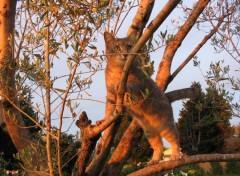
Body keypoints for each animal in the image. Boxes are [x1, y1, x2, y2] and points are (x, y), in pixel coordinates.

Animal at [104, 31, 200, 164]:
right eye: (117, 47)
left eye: (129, 46)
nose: (125, 54)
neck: (118, 71)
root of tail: (166, 96)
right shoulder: (110, 94)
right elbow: (108, 109)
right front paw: (105, 121)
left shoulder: (137, 81)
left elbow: (130, 85)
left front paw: (123, 88)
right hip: (150, 132)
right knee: (158, 146)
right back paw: (154, 160)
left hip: (165, 126)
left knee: (175, 139)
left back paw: (175, 155)